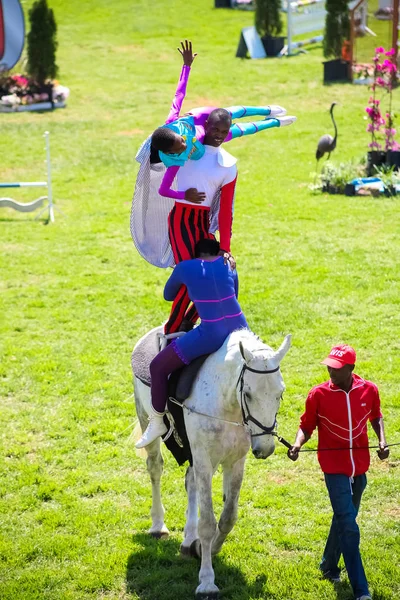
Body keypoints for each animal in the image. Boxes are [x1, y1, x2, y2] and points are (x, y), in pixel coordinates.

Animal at [133, 328, 290, 600]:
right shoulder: (204, 459)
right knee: (155, 468)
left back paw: (188, 540)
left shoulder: (235, 461)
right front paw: (207, 581)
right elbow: (208, 521)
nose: (266, 447)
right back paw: (158, 525)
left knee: (191, 482)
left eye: (280, 393)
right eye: (248, 393)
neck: (228, 404)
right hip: (146, 420)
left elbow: (228, 517)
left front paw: (205, 548)